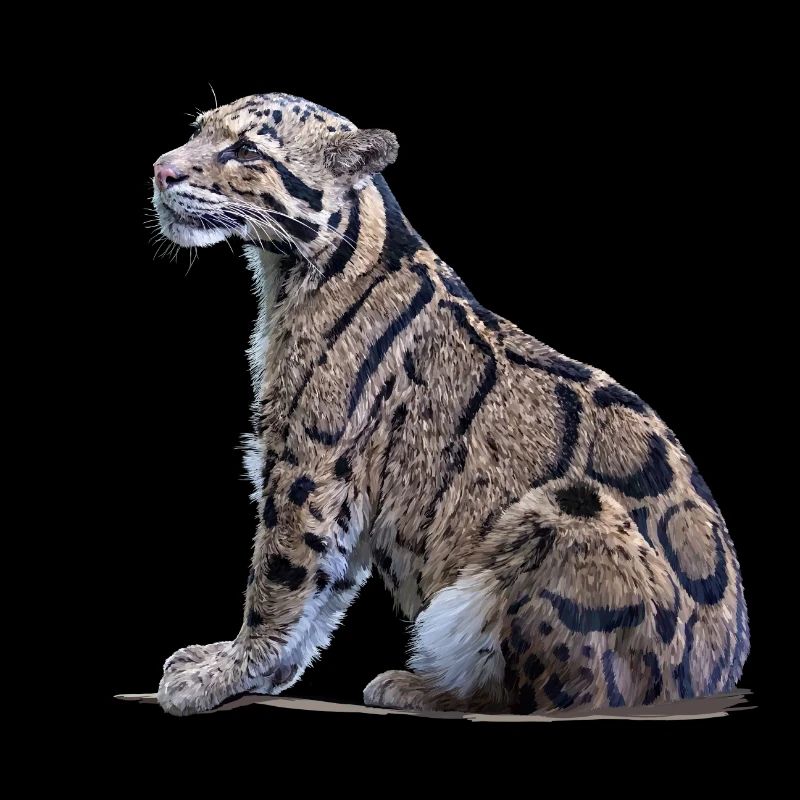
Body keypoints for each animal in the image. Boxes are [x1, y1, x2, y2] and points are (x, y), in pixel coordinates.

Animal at [151, 92, 749, 716]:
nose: (161, 170)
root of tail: (715, 674)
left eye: (246, 150)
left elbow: (280, 580)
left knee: (561, 695)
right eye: (198, 130)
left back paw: (423, 685)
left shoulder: (308, 466)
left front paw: (222, 673)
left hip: (571, 511)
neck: (285, 277)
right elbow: (323, 591)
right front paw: (256, 672)